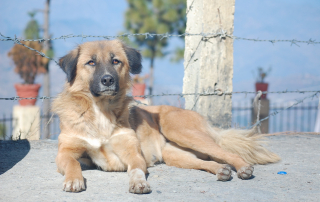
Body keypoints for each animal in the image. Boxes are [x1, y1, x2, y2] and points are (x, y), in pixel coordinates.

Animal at [52, 39, 280, 194]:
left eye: (116, 61)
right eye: (91, 63)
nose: (107, 80)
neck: (100, 111)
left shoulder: (133, 154)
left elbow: (136, 170)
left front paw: (139, 182)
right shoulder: (66, 153)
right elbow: (73, 163)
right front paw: (73, 180)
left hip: (178, 130)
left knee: (226, 152)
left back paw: (242, 167)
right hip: (175, 155)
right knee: (205, 161)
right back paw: (220, 170)